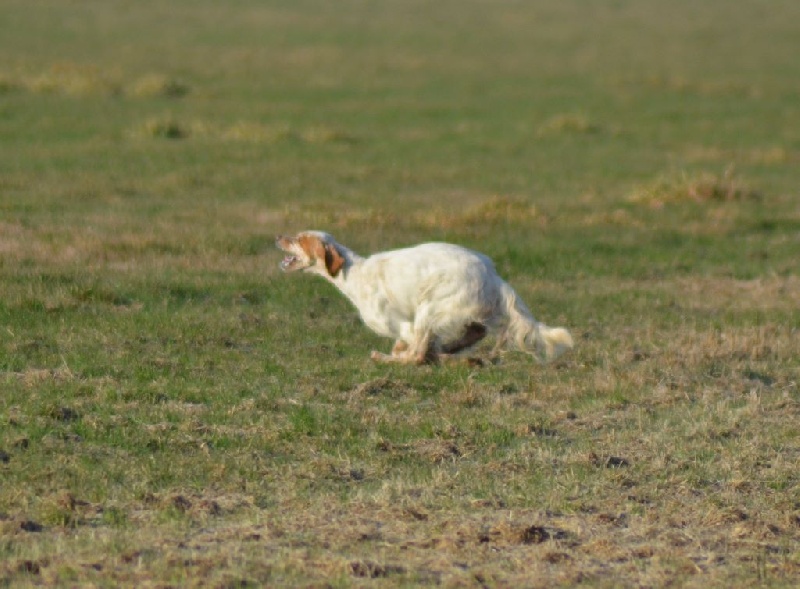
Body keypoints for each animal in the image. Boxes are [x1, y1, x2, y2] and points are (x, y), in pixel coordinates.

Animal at [276, 231, 573, 365]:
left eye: (299, 239)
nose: (279, 237)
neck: (354, 273)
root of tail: (492, 274)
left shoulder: (402, 323)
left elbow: (412, 349)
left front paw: (396, 354)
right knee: (474, 333)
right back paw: (450, 351)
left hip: (430, 307)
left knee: (418, 354)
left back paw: (389, 357)